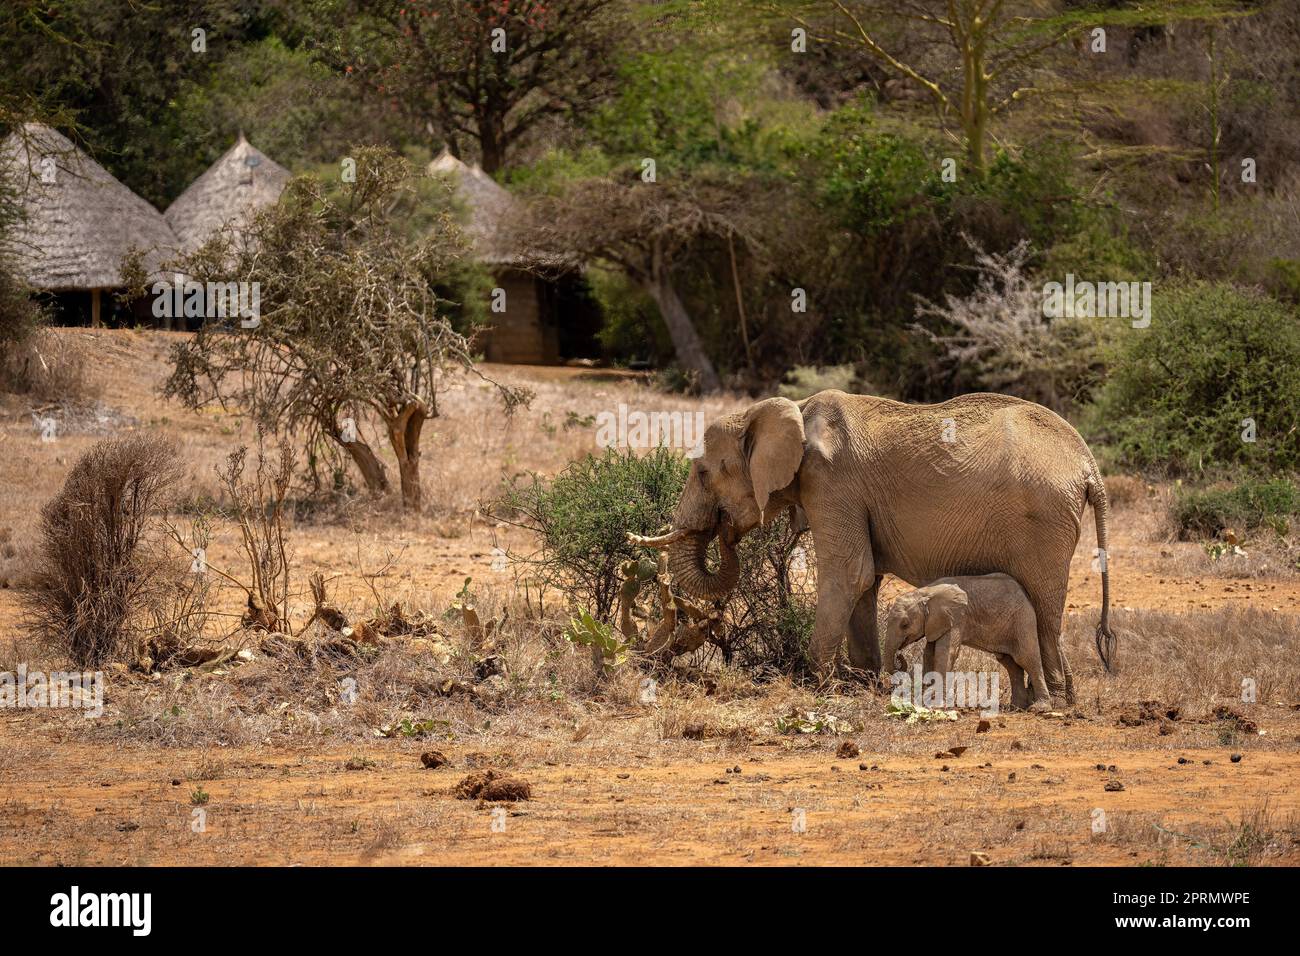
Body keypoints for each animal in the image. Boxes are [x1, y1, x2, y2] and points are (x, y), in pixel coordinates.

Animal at [878, 574, 1050, 712]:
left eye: (904, 625)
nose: (899, 655)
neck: (925, 593)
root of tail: (1025, 594)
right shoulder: (937, 622)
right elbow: (929, 653)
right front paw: (923, 697)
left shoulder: (956, 617)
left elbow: (946, 653)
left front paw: (934, 703)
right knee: (1010, 664)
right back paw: (1016, 707)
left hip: (1023, 621)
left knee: (1026, 659)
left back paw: (1039, 708)